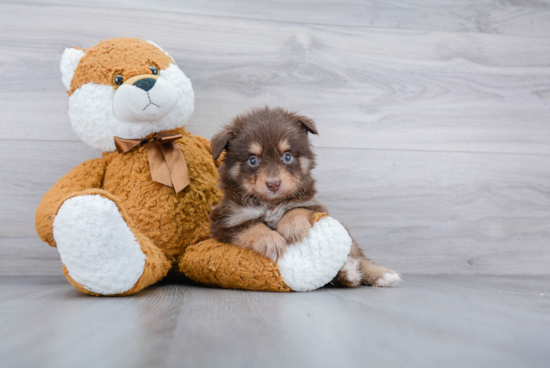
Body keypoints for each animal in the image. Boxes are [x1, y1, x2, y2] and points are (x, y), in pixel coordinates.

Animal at [210, 106, 402, 288]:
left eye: (287, 156)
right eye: (252, 160)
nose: (273, 184)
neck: (271, 204)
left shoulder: (312, 204)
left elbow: (296, 209)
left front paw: (291, 228)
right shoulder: (228, 222)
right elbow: (252, 227)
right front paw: (271, 240)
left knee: (359, 257)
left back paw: (378, 274)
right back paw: (348, 272)